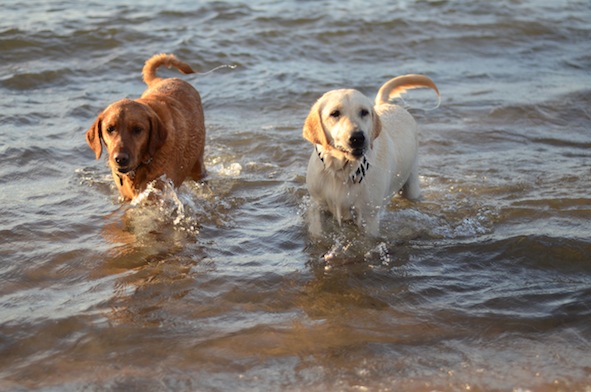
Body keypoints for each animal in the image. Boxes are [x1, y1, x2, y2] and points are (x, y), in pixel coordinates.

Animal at [86, 53, 207, 201]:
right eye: (110, 129)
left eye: (137, 129)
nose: (120, 159)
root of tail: (162, 79)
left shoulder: (161, 190)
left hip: (198, 165)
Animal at [306, 74, 440, 236]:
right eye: (335, 113)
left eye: (364, 112)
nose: (358, 137)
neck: (343, 171)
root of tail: (387, 105)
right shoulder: (318, 205)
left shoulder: (368, 216)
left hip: (411, 182)